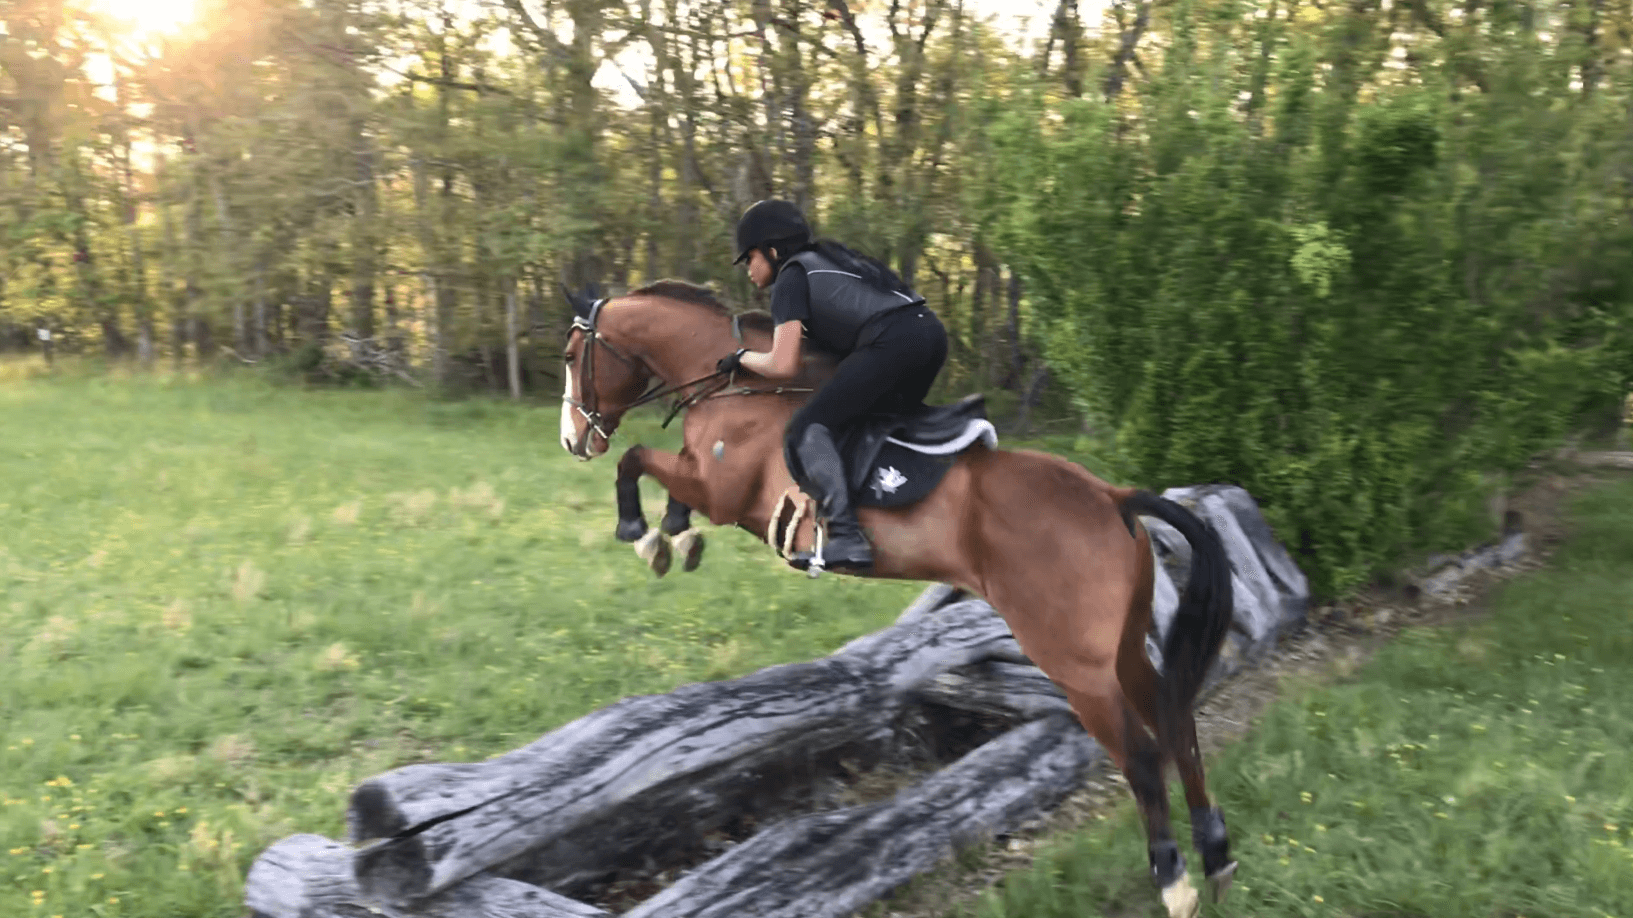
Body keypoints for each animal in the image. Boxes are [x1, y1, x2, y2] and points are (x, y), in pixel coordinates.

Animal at [556, 280, 1239, 918]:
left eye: (570, 355)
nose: (572, 440)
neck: (732, 389)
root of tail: (1112, 497)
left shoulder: (722, 490)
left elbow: (637, 459)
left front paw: (644, 534)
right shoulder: (705, 479)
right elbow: (662, 477)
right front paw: (675, 532)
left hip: (1074, 663)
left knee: (1142, 755)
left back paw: (1175, 881)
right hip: (1121, 648)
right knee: (1177, 722)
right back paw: (1217, 858)